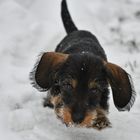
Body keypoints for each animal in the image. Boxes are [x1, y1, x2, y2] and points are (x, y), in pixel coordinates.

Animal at [29, 0, 136, 130]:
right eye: (68, 85)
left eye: (95, 89)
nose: (77, 119)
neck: (85, 51)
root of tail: (77, 30)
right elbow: (57, 97)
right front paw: (60, 109)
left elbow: (101, 106)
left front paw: (100, 119)